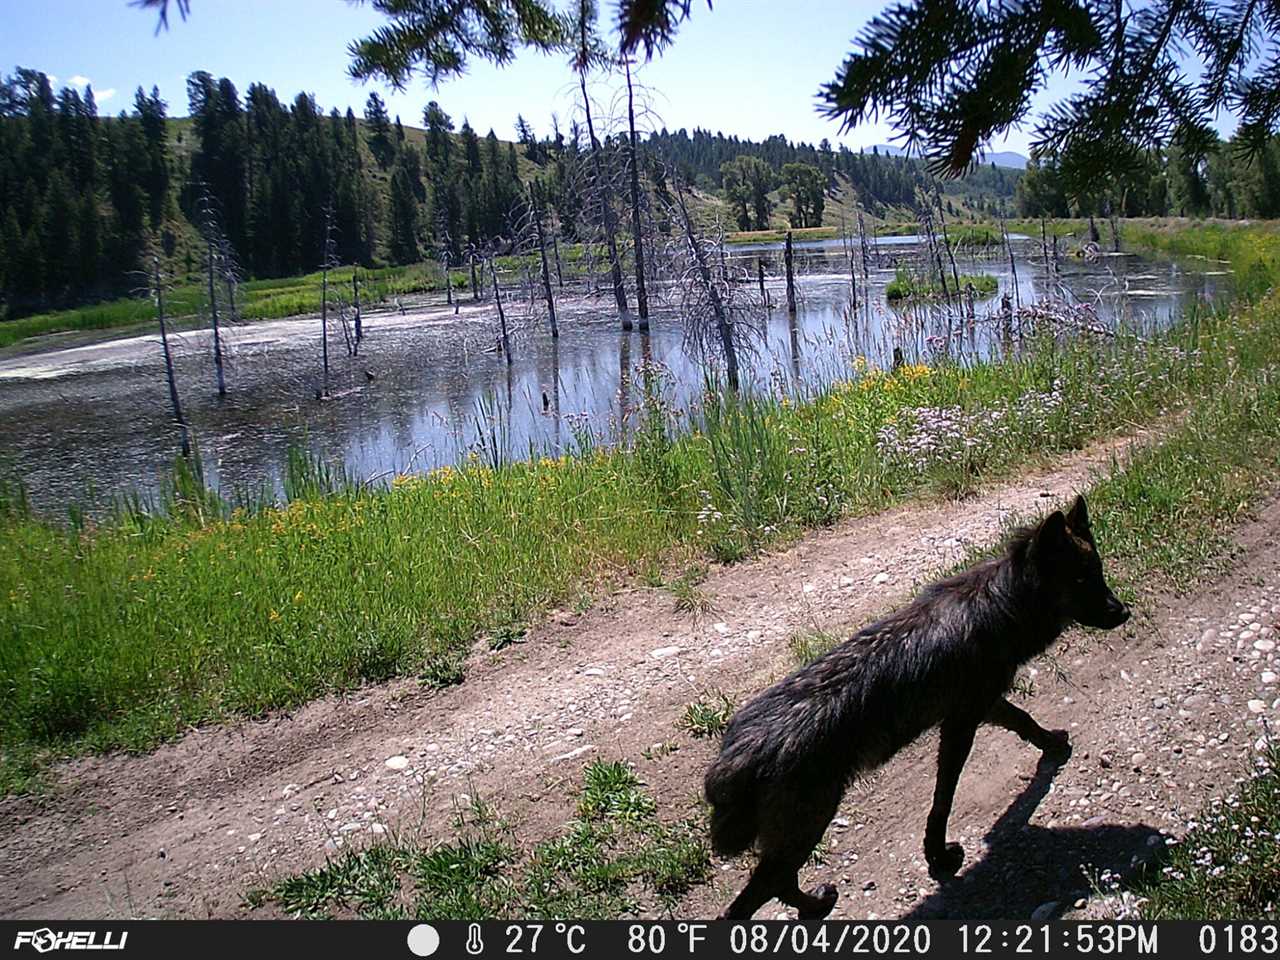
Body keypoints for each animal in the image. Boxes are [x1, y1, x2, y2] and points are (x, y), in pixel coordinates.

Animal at [701, 499, 1131, 921]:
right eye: (1081, 581)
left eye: (1098, 573)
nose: (1123, 611)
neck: (1005, 603)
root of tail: (732, 757)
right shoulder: (960, 724)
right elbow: (943, 798)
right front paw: (938, 856)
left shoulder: (982, 704)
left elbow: (1024, 720)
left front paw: (1052, 744)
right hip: (810, 825)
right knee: (756, 895)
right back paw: (816, 904)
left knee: (776, 884)